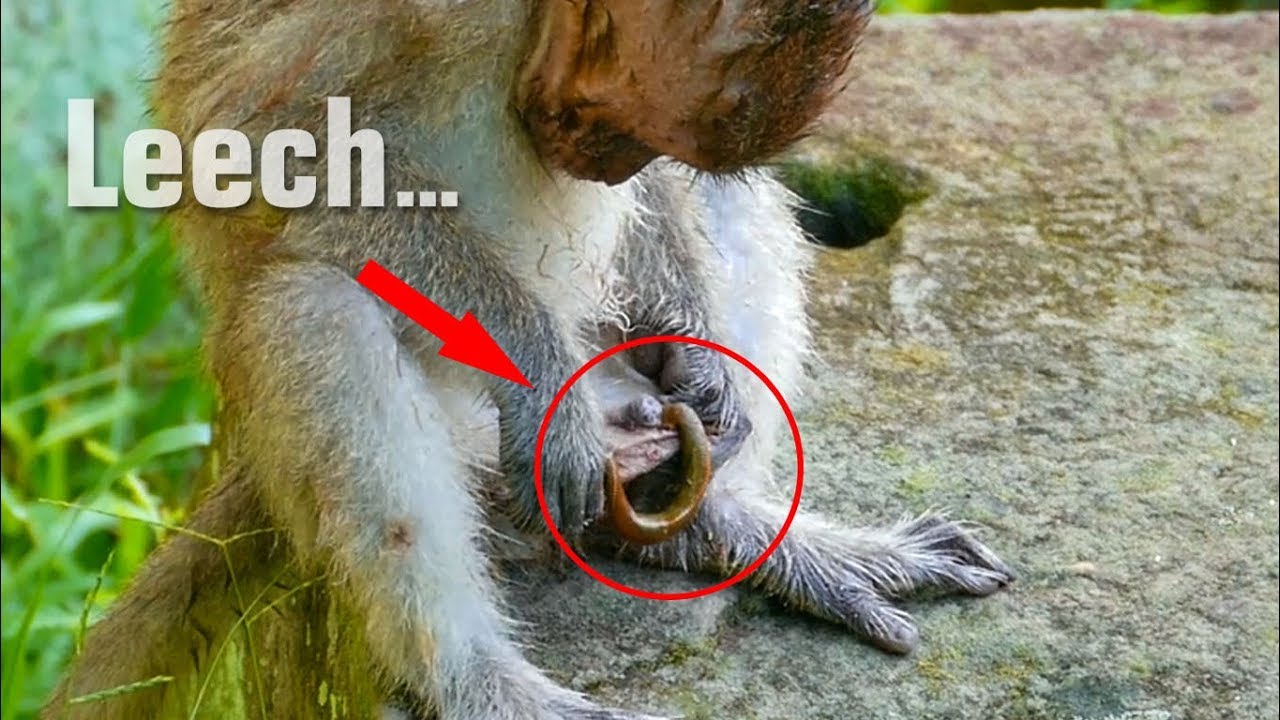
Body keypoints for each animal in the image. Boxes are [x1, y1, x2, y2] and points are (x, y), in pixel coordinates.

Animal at [44, 1, 1014, 719]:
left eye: (648, 142)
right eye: (608, 118)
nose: (608, 164)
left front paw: (704, 365)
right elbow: (255, 136)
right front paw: (541, 373)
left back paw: (713, 516)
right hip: (477, 450)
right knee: (318, 308)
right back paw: (476, 676)